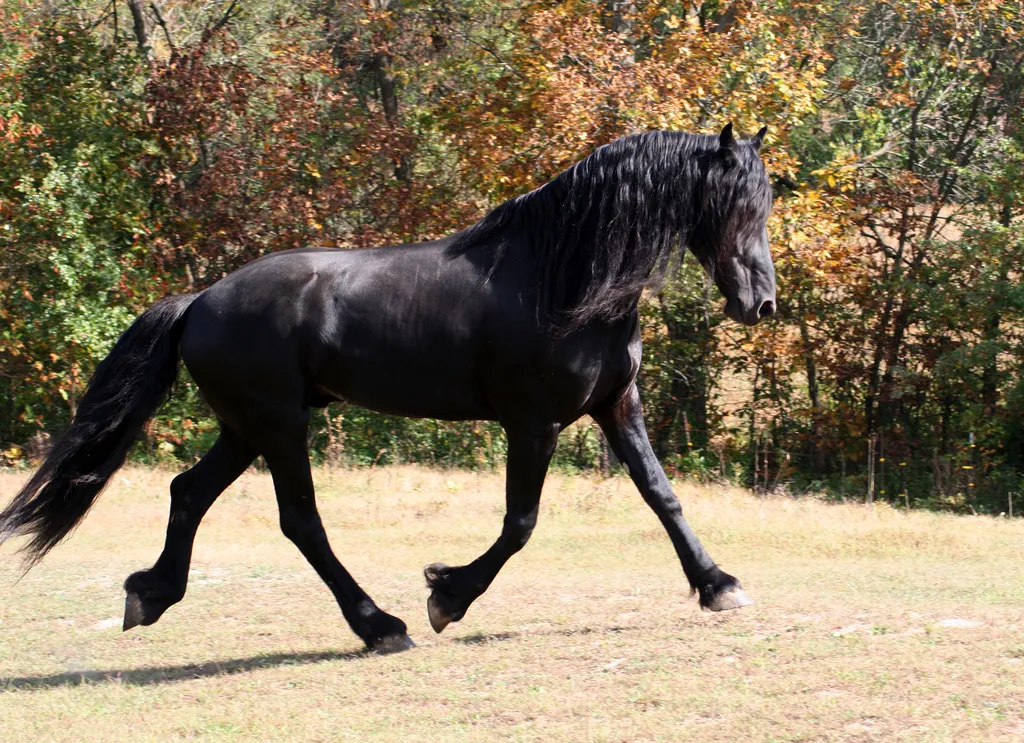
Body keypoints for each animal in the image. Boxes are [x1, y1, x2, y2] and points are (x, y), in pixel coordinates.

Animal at [0, 124, 776, 653]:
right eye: (733, 204)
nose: (761, 304)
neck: (561, 279)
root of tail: (201, 301)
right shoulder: (534, 422)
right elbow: (520, 523)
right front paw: (447, 596)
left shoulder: (617, 405)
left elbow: (661, 495)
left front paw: (719, 585)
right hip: (278, 425)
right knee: (301, 522)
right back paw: (380, 625)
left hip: (246, 428)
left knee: (189, 493)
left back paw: (150, 594)